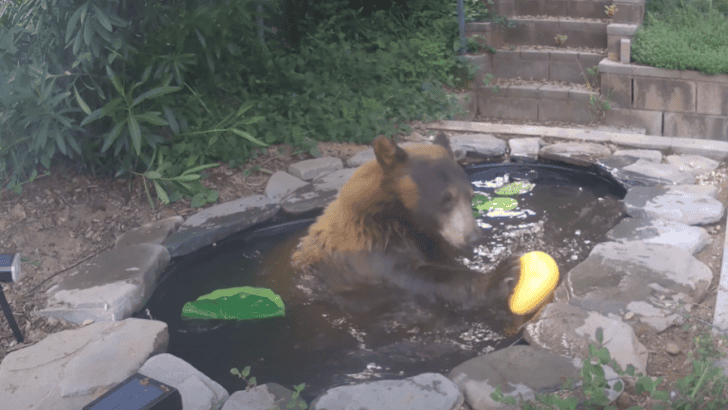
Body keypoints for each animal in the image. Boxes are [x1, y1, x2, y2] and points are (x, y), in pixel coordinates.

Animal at [290, 133, 528, 313]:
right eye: (446, 198)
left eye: (470, 196)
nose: (474, 237)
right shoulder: (369, 254)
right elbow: (421, 277)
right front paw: (503, 275)